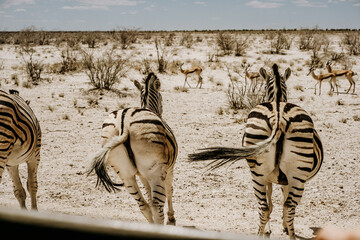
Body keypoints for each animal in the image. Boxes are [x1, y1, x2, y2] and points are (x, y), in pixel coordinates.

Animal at [87, 72, 177, 225]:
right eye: (161, 98)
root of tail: (124, 125)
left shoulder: (142, 174)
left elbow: (148, 194)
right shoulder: (169, 168)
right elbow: (170, 189)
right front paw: (171, 217)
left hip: (124, 173)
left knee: (143, 205)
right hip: (155, 171)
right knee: (156, 205)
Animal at [188, 64, 324, 240]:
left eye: (264, 87)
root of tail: (279, 119)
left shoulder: (276, 178)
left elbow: (274, 201)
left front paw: (274, 228)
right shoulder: (279, 178)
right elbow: (277, 199)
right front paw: (279, 228)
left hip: (262, 173)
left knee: (268, 207)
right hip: (290, 175)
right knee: (285, 207)